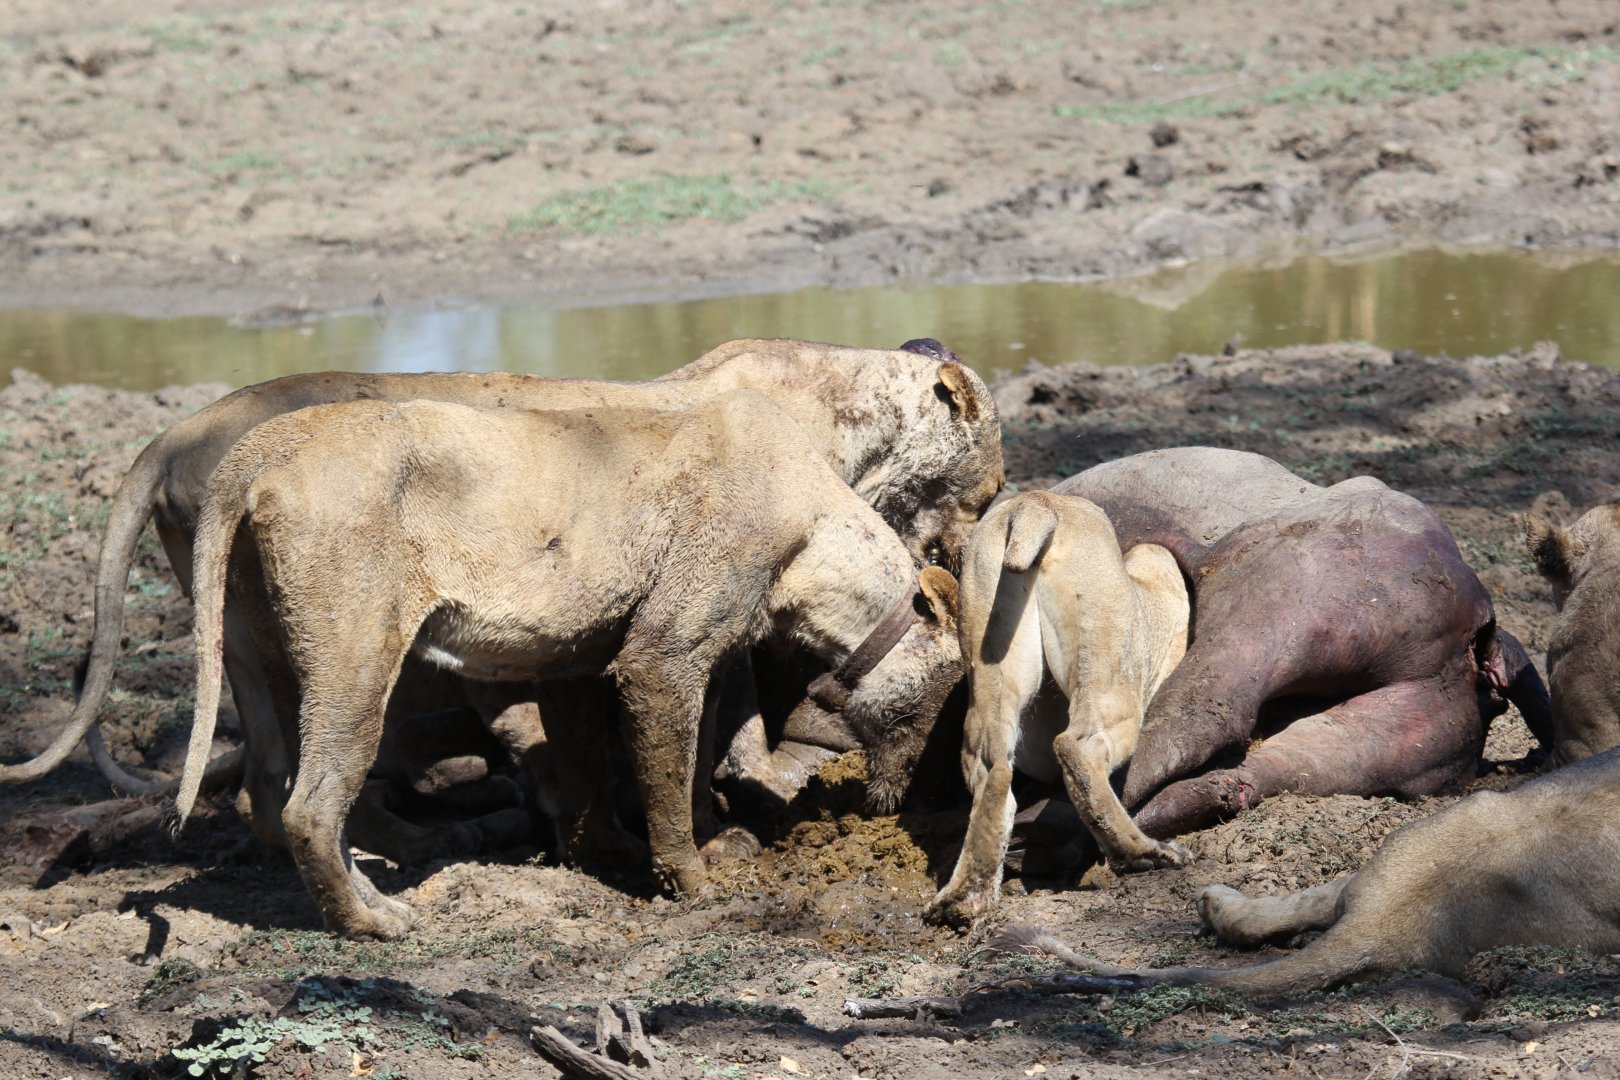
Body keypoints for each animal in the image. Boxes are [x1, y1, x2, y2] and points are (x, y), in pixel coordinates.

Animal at [2, 338, 1000, 858]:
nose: (964, 548)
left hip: (246, 640)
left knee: (268, 771)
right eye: (986, 486)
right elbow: (720, 714)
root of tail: (171, 437)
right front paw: (727, 813)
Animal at [179, 390, 965, 939]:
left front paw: (644, 848)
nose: (917, 790)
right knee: (313, 804)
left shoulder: (592, 654)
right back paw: (375, 923)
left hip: (267, 658)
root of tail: (257, 448)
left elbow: (631, 763)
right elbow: (665, 770)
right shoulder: (662, 652)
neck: (815, 550)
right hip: (357, 652)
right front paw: (692, 881)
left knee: (282, 789)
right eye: (949, 688)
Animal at [924, 492, 1190, 927]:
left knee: (992, 770)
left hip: (991, 659)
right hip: (1109, 670)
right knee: (1078, 746)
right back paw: (1142, 854)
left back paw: (964, 898)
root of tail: (1036, 502)